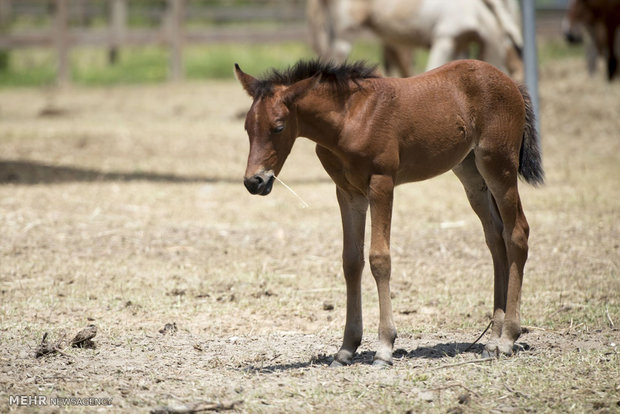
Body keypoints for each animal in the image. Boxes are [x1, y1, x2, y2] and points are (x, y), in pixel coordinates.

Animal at [236, 59, 544, 366]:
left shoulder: (381, 184)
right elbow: (351, 261)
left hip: (499, 165)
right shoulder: (347, 193)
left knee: (518, 233)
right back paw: (491, 340)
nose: (254, 182)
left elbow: (379, 259)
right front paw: (346, 348)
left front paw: (384, 347)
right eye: (247, 128)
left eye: (278, 127)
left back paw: (507, 338)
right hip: (471, 173)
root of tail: (510, 82)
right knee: (496, 238)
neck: (349, 119)